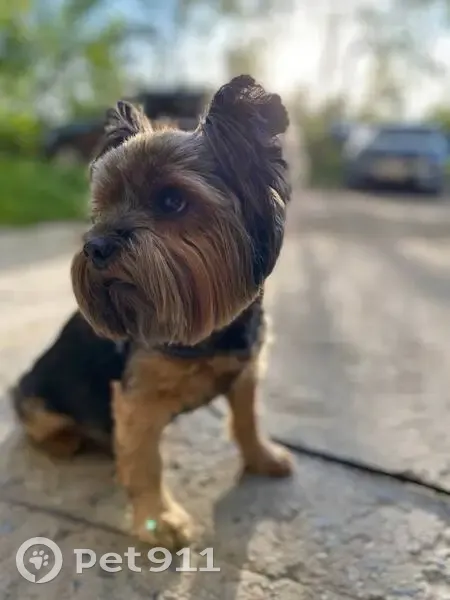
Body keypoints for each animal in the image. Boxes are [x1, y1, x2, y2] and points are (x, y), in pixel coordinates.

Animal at [12, 75, 293, 549]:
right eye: (102, 205)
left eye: (172, 201)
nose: (95, 245)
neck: (209, 331)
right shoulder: (137, 399)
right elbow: (145, 462)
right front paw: (160, 519)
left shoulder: (246, 371)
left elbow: (247, 418)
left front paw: (263, 457)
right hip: (33, 396)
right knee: (41, 424)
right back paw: (67, 441)